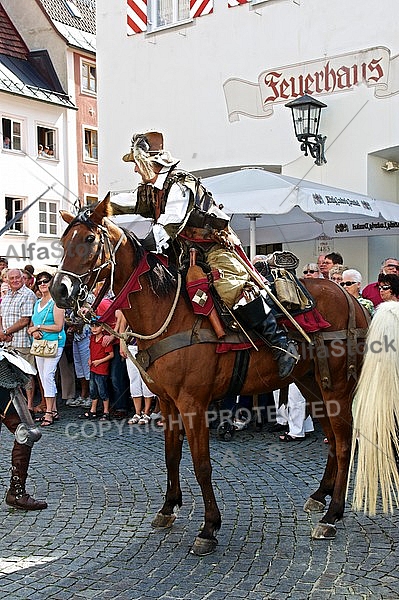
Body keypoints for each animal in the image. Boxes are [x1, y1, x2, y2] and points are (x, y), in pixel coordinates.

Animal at [51, 199, 370, 556]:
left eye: (89, 240)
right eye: (63, 242)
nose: (58, 290)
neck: (167, 312)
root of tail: (350, 298)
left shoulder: (193, 404)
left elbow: (202, 464)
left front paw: (209, 527)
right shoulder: (168, 402)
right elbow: (171, 456)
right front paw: (168, 508)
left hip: (337, 388)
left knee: (344, 444)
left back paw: (333, 515)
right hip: (312, 384)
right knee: (332, 440)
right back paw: (319, 496)